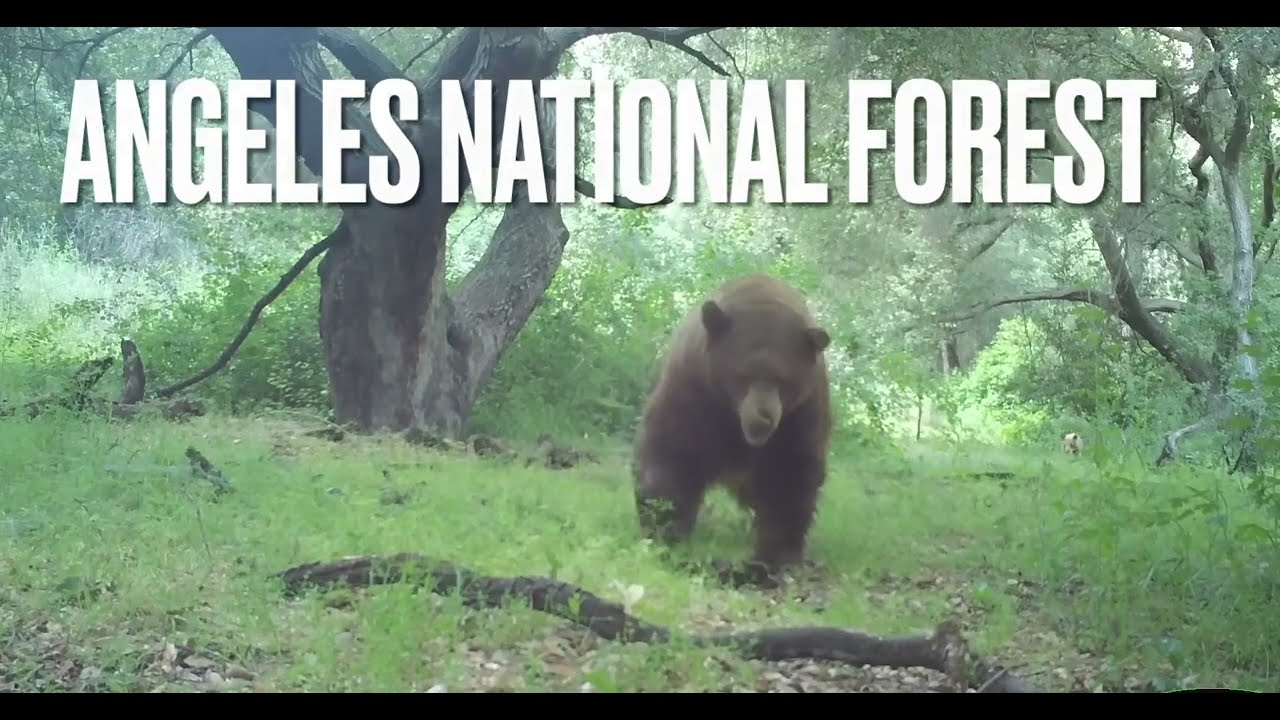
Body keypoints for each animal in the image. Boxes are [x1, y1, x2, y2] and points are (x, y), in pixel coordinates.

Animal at [632, 273, 833, 584]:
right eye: (744, 374)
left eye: (783, 380)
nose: (763, 417)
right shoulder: (696, 392)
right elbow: (672, 455)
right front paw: (665, 528)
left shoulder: (800, 416)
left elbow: (790, 478)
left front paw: (773, 556)